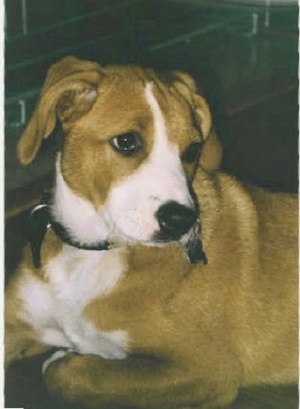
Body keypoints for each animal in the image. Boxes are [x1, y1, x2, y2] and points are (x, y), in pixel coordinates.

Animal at [5, 56, 298, 408]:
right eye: (126, 141)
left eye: (192, 150)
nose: (181, 221)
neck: (93, 251)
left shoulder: (209, 368)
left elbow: (71, 373)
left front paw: (66, 359)